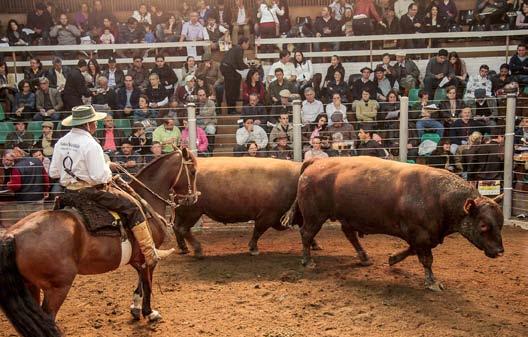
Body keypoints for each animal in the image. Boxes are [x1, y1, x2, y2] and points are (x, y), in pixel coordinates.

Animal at [0, 148, 198, 334]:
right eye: (193, 171)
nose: (194, 197)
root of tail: (13, 235)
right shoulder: (148, 257)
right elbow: (147, 283)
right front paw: (149, 313)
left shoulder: (136, 259)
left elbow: (140, 283)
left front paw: (135, 308)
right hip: (57, 287)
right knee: (48, 317)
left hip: (30, 286)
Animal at [286, 156, 506, 290]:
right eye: (484, 225)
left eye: (501, 223)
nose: (499, 251)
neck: (438, 196)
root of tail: (317, 162)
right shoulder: (420, 234)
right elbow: (426, 259)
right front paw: (432, 282)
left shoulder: (422, 236)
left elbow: (412, 250)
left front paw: (393, 258)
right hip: (315, 215)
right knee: (306, 233)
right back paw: (308, 261)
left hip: (346, 216)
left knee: (349, 234)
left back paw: (364, 257)